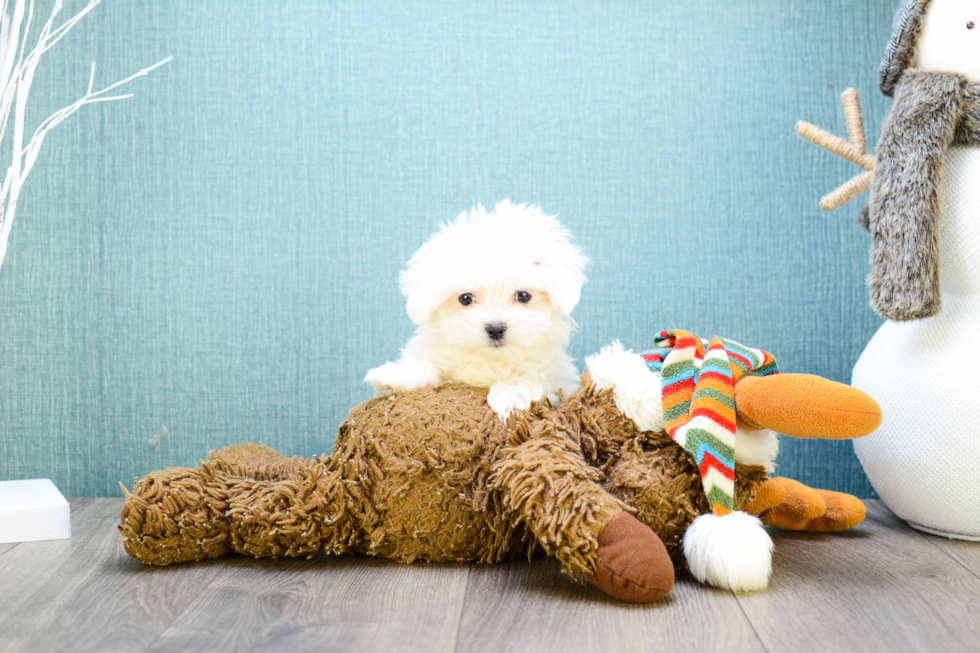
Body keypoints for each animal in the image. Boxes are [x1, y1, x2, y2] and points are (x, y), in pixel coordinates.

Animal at [364, 199, 584, 420]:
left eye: (523, 296)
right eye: (465, 298)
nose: (495, 329)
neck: (490, 359)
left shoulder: (556, 376)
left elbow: (529, 375)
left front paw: (513, 396)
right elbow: (428, 366)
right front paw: (396, 377)